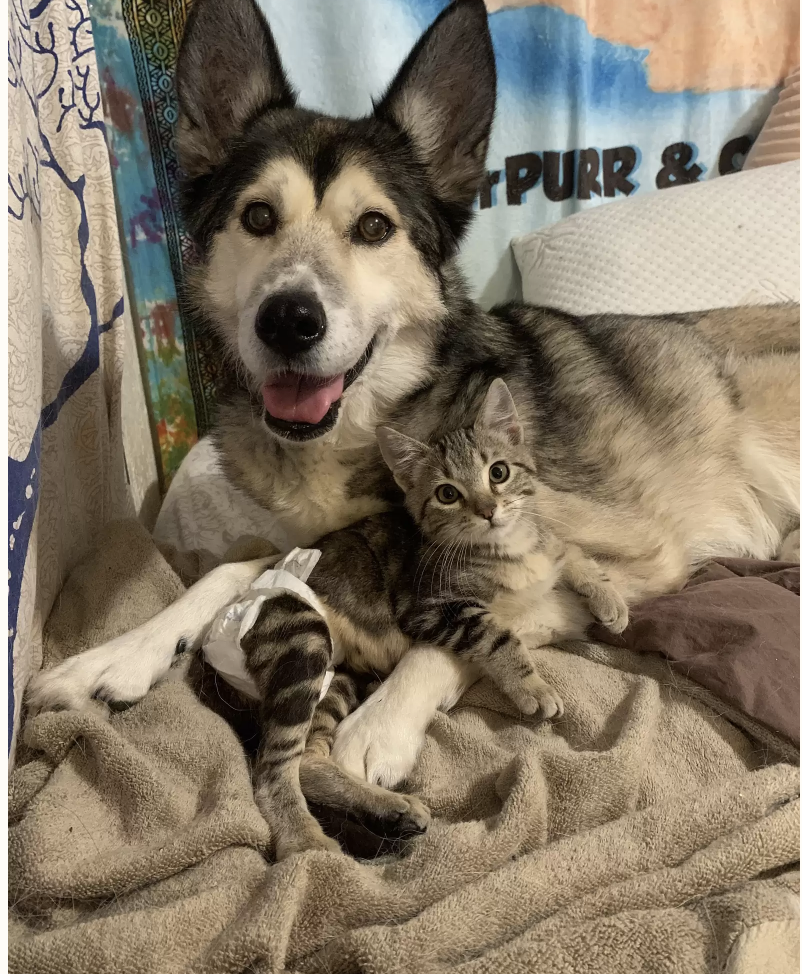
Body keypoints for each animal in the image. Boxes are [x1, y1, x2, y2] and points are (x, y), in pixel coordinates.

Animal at [28, 0, 796, 792]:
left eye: (374, 227)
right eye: (258, 217)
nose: (288, 321)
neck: (375, 423)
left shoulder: (644, 555)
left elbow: (483, 619)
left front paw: (380, 724)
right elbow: (230, 570)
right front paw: (116, 656)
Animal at [234, 382, 628, 860]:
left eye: (498, 472)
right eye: (447, 494)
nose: (488, 510)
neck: (508, 549)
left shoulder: (544, 548)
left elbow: (570, 551)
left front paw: (609, 597)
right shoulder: (429, 607)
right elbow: (498, 636)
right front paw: (533, 689)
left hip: (339, 676)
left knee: (307, 760)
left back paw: (391, 810)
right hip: (302, 639)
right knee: (272, 770)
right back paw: (307, 842)